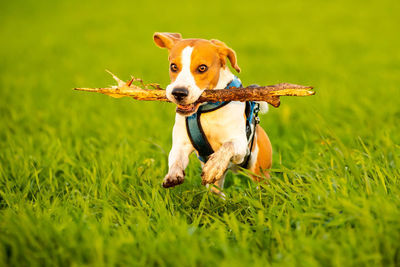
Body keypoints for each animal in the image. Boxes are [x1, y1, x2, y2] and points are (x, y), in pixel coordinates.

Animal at [153, 32, 272, 195]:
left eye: (202, 68)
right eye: (174, 66)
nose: (178, 92)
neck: (205, 111)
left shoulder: (241, 144)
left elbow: (228, 145)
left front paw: (214, 165)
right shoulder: (181, 143)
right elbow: (176, 157)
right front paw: (173, 174)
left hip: (259, 170)